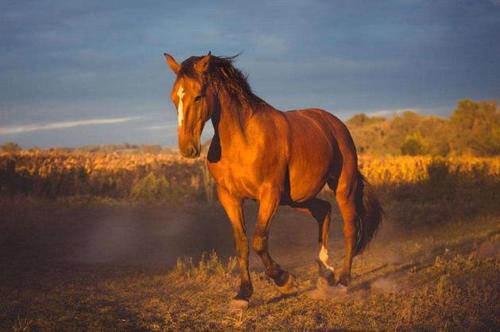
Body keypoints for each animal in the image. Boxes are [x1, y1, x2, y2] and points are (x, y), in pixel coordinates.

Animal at [164, 51, 382, 308]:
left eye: (198, 96)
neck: (244, 139)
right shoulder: (229, 197)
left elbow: (259, 240)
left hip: (342, 188)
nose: (187, 149)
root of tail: (335, 124)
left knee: (350, 228)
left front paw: (284, 280)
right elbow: (242, 243)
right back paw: (325, 270)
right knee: (323, 210)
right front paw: (243, 294)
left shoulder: (269, 195)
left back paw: (343, 281)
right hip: (297, 199)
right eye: (173, 97)